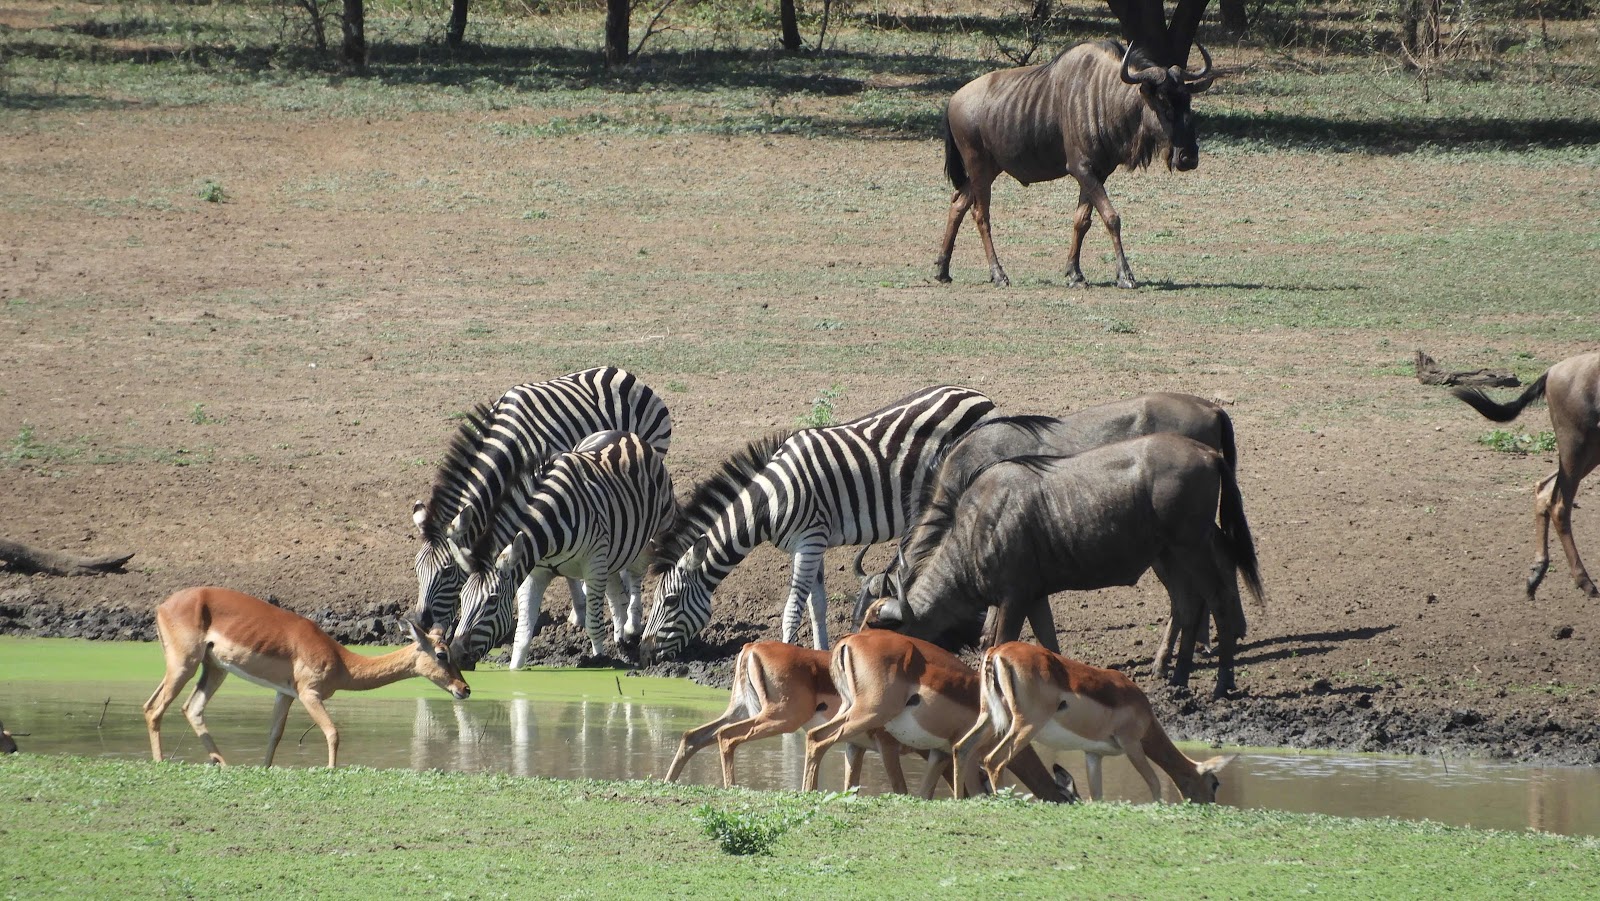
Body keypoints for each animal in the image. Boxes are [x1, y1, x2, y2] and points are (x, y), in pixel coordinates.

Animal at [409, 366, 672, 633]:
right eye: (417, 569)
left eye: (447, 571)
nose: (421, 622)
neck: (510, 447)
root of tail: (620, 372)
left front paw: (578, 612)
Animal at [451, 428, 675, 668]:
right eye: (461, 598)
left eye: (492, 600)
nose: (455, 656)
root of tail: (622, 433)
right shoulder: (535, 573)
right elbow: (523, 632)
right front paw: (515, 671)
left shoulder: (593, 563)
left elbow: (593, 624)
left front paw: (600, 660)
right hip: (611, 554)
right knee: (615, 591)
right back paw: (620, 636)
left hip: (656, 530)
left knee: (636, 573)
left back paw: (632, 626)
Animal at [633, 384, 985, 665]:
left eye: (670, 601)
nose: (645, 654)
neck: (768, 502)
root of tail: (975, 394)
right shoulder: (810, 545)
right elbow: (816, 605)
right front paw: (822, 653)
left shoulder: (810, 540)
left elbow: (792, 609)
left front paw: (784, 655)